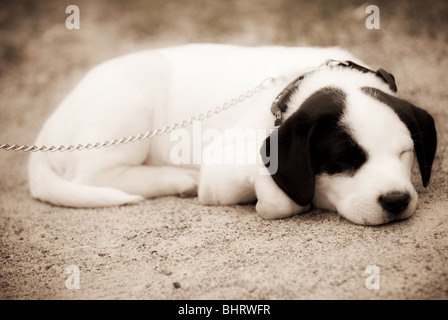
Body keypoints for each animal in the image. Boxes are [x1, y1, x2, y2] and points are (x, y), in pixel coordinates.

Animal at [28, 44, 438, 225]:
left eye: (405, 153)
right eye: (344, 161)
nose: (397, 200)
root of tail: (46, 130)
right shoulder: (220, 167)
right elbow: (280, 194)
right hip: (131, 104)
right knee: (94, 175)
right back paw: (177, 178)